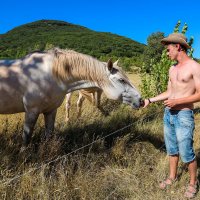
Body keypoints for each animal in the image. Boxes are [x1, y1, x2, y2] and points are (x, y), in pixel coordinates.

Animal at [0, 48, 142, 147]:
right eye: (121, 80)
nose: (141, 100)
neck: (49, 75)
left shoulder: (50, 111)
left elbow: (49, 134)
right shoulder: (31, 111)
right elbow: (27, 137)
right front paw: (24, 154)